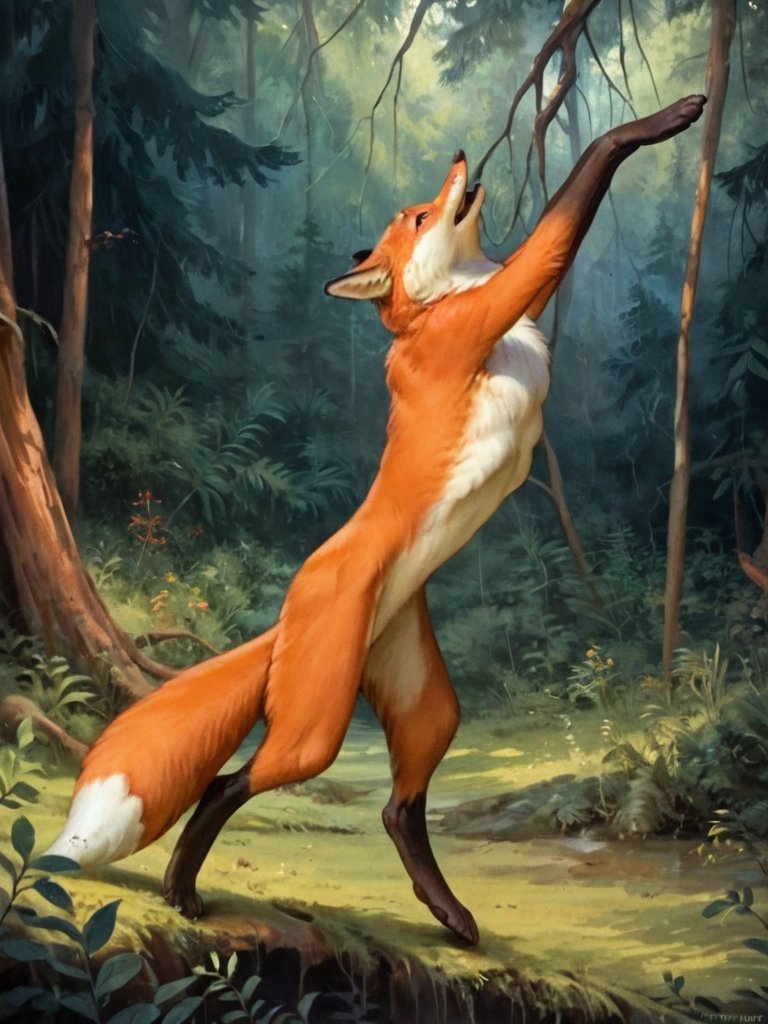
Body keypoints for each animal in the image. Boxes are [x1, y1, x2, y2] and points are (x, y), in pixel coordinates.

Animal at [47, 94, 705, 946]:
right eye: (423, 215)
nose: (460, 153)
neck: (434, 307)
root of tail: (286, 613)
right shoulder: (496, 305)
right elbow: (576, 194)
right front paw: (666, 122)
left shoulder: (510, 305)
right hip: (315, 728)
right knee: (230, 783)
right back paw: (182, 889)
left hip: (428, 707)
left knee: (399, 808)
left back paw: (451, 915)